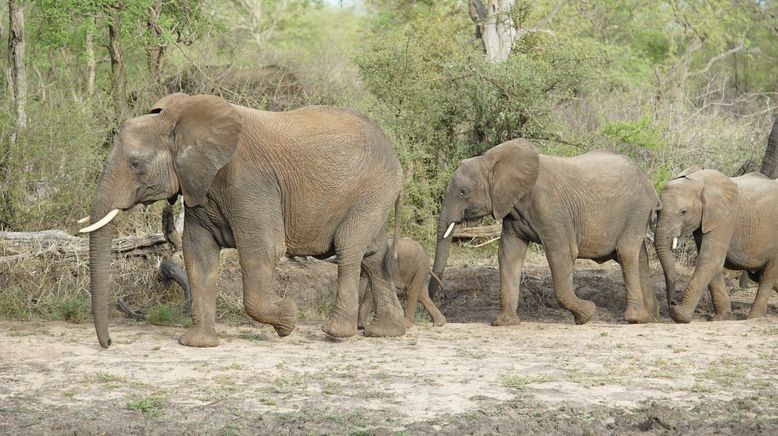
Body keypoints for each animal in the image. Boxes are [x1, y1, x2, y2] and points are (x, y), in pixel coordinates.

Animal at [79, 93, 406, 350]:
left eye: (136, 164)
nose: (109, 343)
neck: (180, 119)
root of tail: (394, 152)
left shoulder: (249, 182)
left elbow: (263, 249)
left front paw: (288, 319)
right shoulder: (199, 186)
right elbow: (198, 252)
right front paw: (198, 344)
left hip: (373, 188)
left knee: (349, 246)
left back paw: (335, 333)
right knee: (374, 255)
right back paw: (386, 332)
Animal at [428, 140, 656, 324]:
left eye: (462, 192)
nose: (437, 304)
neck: (492, 159)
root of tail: (647, 178)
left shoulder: (551, 210)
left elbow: (561, 254)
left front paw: (587, 314)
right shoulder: (512, 210)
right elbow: (509, 254)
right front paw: (504, 323)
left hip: (637, 210)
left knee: (626, 253)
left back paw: (636, 318)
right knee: (639, 256)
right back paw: (651, 317)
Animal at [656, 169, 776, 322]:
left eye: (683, 212)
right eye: (657, 211)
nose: (672, 303)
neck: (698, 180)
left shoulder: (725, 218)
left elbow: (710, 260)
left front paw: (680, 316)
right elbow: (713, 263)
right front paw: (722, 317)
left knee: (767, 276)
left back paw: (753, 318)